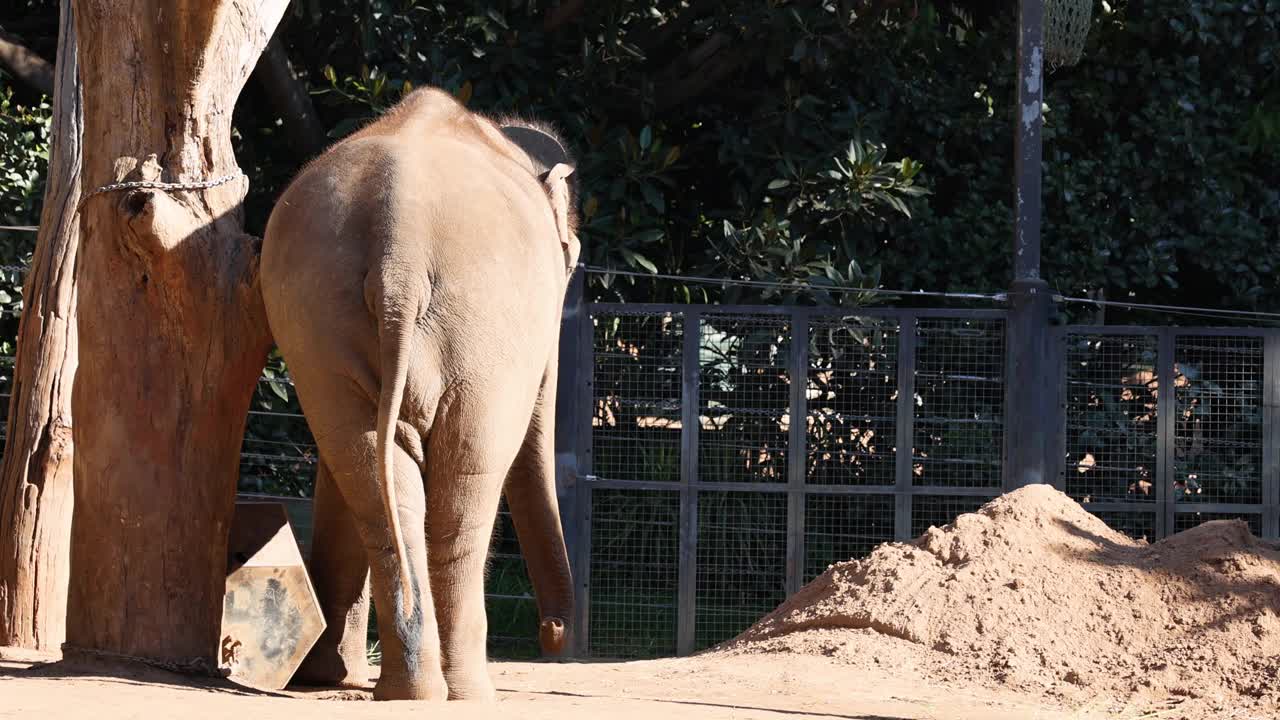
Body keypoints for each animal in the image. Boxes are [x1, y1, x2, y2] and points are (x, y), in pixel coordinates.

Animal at [257, 87, 578, 696]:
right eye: (571, 258)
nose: (552, 635)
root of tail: (398, 248)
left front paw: (327, 676)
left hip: (319, 323)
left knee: (366, 469)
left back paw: (408, 690)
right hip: (483, 339)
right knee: (467, 482)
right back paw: (468, 692)